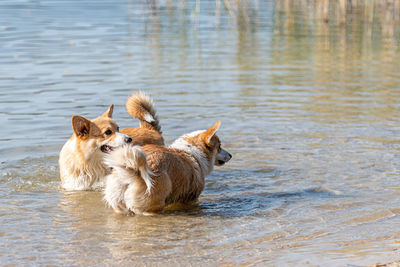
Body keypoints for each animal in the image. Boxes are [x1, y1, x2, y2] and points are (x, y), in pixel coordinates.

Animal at [103, 121, 233, 216]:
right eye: (219, 146)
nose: (231, 155)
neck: (194, 152)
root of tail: (131, 173)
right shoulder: (191, 199)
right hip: (151, 208)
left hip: (119, 207)